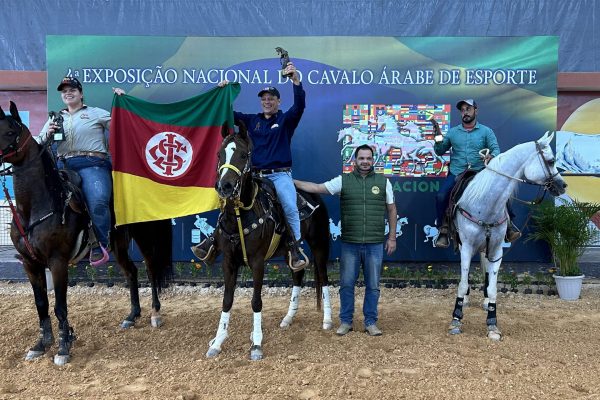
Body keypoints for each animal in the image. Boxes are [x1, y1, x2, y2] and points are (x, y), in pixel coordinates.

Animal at [0, 102, 172, 366]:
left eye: (10, 132)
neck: (35, 207)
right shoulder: (30, 264)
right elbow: (41, 304)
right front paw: (41, 344)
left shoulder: (58, 262)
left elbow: (60, 306)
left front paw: (63, 347)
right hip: (117, 242)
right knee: (131, 272)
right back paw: (132, 316)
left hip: (144, 236)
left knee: (152, 270)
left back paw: (155, 314)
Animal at [204, 122, 330, 360]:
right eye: (219, 154)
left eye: (243, 155)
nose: (225, 186)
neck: (240, 215)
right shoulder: (228, 262)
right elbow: (226, 300)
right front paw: (217, 341)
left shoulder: (257, 262)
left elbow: (256, 301)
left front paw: (256, 344)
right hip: (291, 251)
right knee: (298, 273)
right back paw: (288, 318)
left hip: (319, 244)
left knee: (324, 278)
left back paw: (328, 320)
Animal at [450, 133, 568, 340]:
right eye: (551, 161)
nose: (563, 185)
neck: (485, 203)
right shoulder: (466, 247)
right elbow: (463, 284)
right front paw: (456, 319)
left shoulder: (497, 250)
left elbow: (493, 288)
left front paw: (492, 325)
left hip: (487, 248)